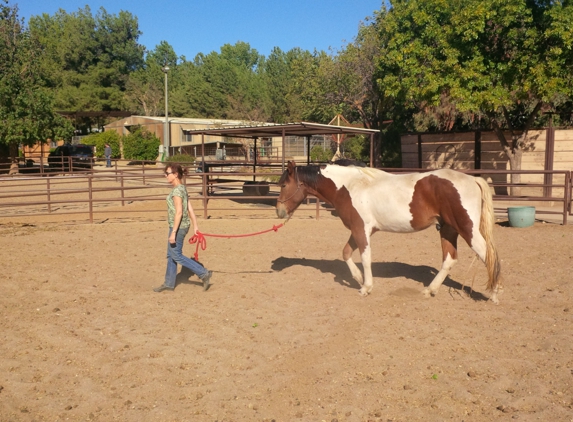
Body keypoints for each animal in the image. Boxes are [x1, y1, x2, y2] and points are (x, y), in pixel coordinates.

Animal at [274, 160, 500, 302]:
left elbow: (365, 258)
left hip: (467, 229)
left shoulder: (361, 229)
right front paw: (358, 279)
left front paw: (366, 287)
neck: (349, 186)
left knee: (488, 254)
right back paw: (430, 290)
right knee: (449, 259)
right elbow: (346, 253)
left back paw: (494, 294)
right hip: (448, 229)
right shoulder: (360, 230)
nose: (279, 211)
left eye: (283, 185)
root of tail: (472, 179)